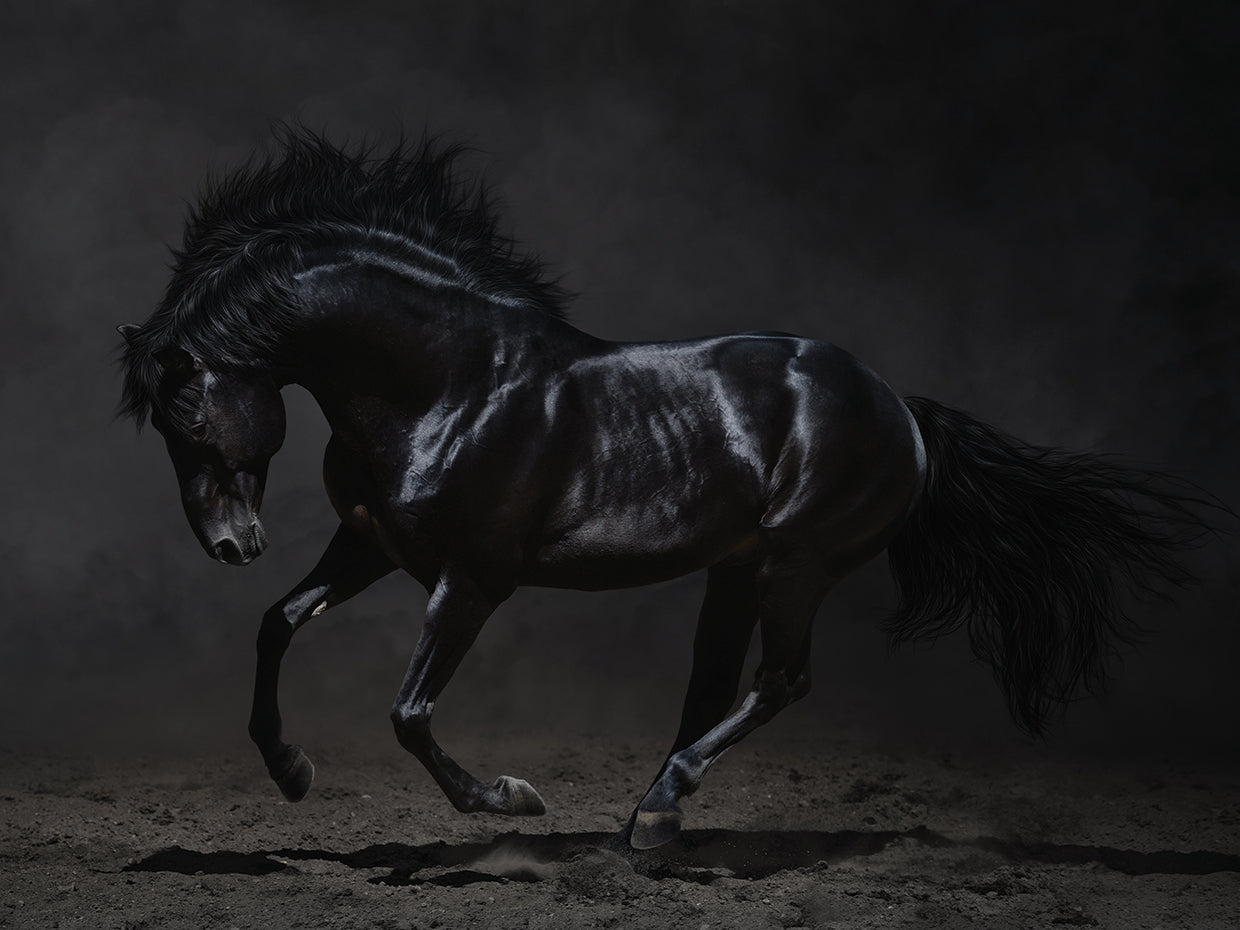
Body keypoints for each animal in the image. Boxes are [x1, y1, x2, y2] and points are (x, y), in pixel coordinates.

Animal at [118, 130, 1208, 850]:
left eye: (192, 419)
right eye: (166, 432)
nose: (230, 545)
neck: (450, 384)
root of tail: (899, 406)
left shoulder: (472, 578)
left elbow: (410, 712)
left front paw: (509, 799)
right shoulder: (372, 545)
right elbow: (277, 623)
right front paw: (291, 771)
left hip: (797, 565)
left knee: (780, 682)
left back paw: (656, 811)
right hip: (737, 569)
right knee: (715, 687)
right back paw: (650, 817)